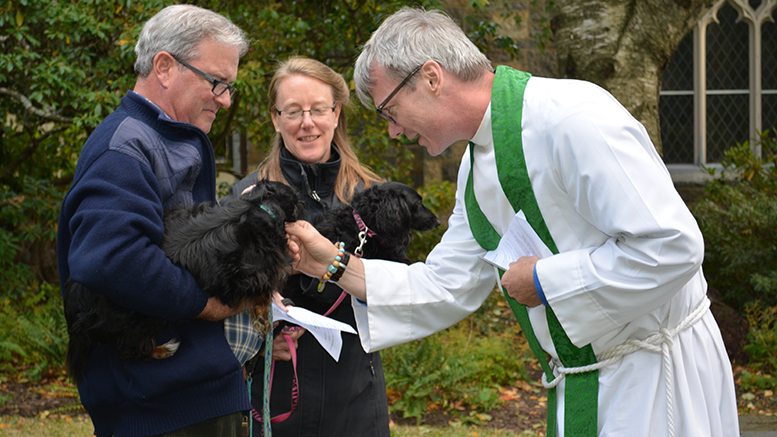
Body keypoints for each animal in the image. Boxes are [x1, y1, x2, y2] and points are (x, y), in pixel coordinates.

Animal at [62, 178, 304, 382]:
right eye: (296, 198)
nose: (304, 205)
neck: (262, 206)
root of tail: (77, 297)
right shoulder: (253, 275)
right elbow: (262, 293)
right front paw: (264, 317)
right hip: (144, 316)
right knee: (133, 348)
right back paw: (162, 349)